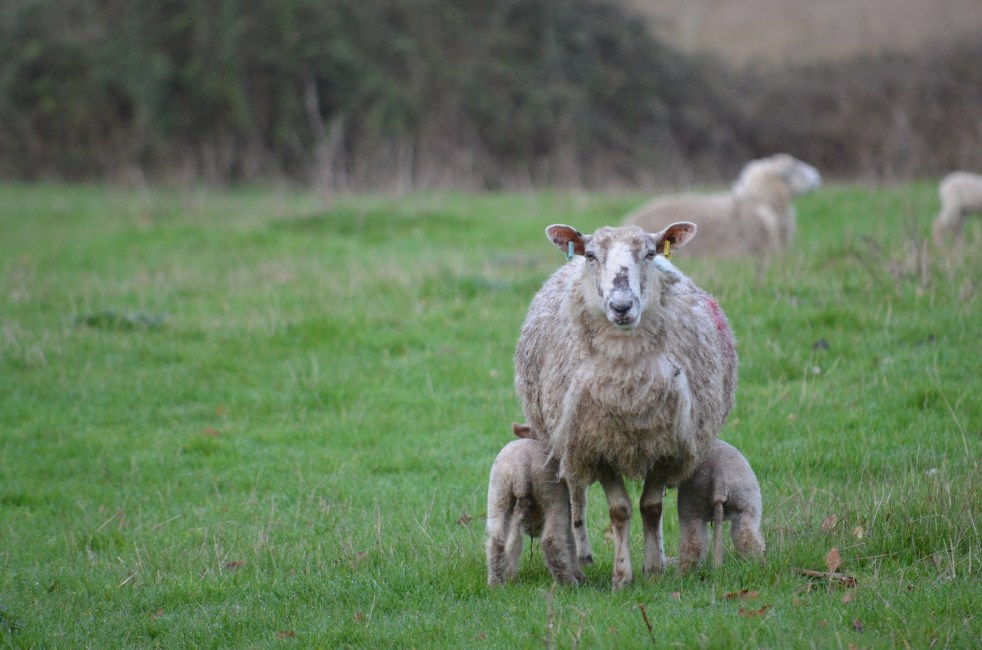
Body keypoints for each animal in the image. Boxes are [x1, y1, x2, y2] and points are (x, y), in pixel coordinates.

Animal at [486, 430, 584, 587]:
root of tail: (521, 464)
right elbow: (571, 544)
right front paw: (579, 575)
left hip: (499, 495)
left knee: (497, 541)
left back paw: (496, 583)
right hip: (552, 496)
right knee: (551, 540)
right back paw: (568, 583)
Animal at [514, 222, 738, 588]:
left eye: (649, 253)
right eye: (590, 255)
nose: (621, 306)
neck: (628, 388)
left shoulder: (667, 445)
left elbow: (652, 507)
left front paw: (654, 570)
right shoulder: (598, 445)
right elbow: (619, 510)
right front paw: (622, 576)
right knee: (577, 496)